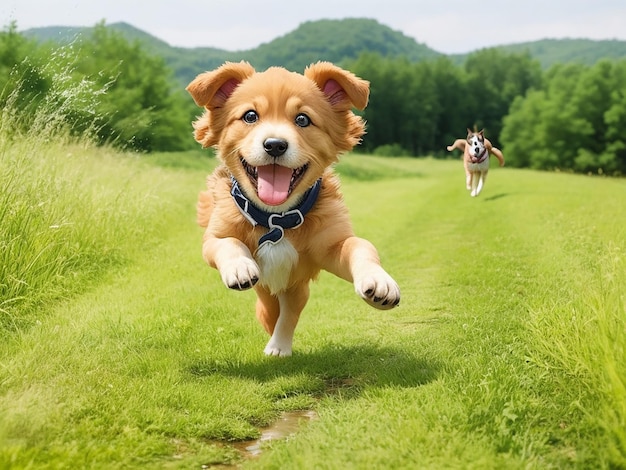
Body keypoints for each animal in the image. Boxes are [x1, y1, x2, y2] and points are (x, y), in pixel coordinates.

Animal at [185, 61, 400, 356]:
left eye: (302, 119)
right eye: (250, 116)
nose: (275, 145)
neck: (276, 219)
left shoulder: (330, 245)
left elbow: (360, 246)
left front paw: (379, 281)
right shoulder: (214, 237)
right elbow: (227, 242)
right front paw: (239, 266)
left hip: (295, 288)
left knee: (288, 312)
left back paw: (279, 346)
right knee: (269, 311)